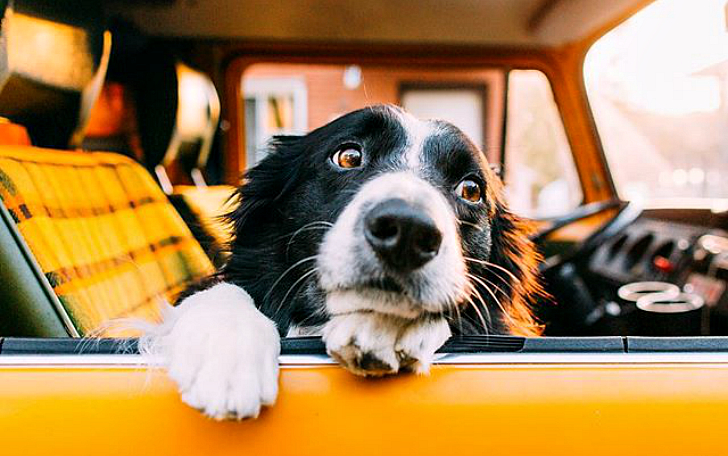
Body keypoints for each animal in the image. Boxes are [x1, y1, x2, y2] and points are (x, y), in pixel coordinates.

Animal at [142, 103, 544, 420]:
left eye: (471, 190)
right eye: (348, 157)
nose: (407, 230)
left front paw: (381, 325)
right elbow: (225, 288)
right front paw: (226, 350)